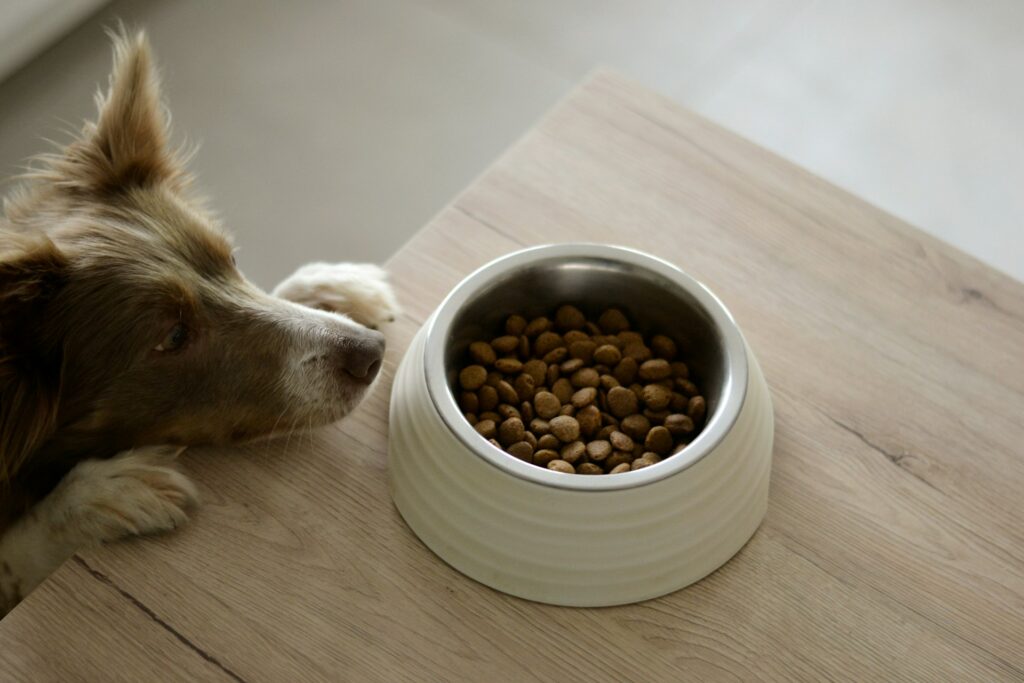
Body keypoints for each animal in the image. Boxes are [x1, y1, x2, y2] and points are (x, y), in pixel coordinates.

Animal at [0, 29, 399, 618]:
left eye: (230, 259)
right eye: (173, 336)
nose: (370, 353)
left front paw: (331, 285)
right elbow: (14, 555)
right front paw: (100, 494)